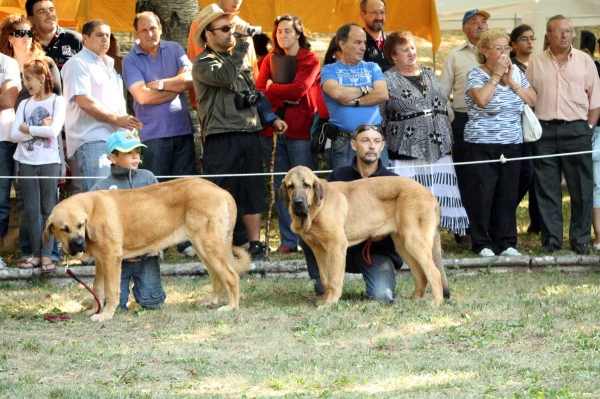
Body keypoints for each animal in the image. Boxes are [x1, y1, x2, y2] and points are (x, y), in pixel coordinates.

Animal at [43, 178, 251, 322]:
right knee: (217, 277)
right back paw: (211, 301)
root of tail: (223, 192)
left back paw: (231, 307)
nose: (79, 244)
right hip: (204, 249)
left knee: (231, 276)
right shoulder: (101, 262)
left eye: (80, 225)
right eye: (64, 229)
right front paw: (96, 310)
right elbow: (97, 289)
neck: (91, 213)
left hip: (209, 247)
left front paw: (106, 315)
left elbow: (111, 290)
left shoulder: (111, 258)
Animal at [278, 166, 448, 306]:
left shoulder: (336, 246)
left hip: (414, 241)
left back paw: (436, 301)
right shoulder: (319, 250)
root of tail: (431, 195)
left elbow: (334, 279)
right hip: (404, 246)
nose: (298, 203)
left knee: (434, 273)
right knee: (421, 274)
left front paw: (330, 303)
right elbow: (325, 278)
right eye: (290, 186)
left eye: (306, 185)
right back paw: (415, 299)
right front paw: (325, 299)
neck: (316, 208)